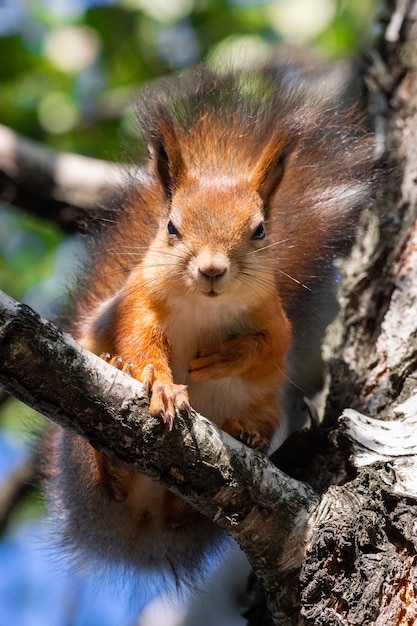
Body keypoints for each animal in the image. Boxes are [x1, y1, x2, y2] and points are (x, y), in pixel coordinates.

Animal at [41, 66, 374, 584]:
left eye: (259, 230)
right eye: (171, 227)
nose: (213, 270)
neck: (206, 308)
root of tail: (139, 529)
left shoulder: (272, 316)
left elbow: (268, 348)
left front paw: (223, 358)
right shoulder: (137, 305)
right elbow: (140, 342)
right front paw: (160, 385)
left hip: (261, 417)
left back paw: (247, 436)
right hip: (79, 445)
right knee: (105, 472)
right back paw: (113, 438)